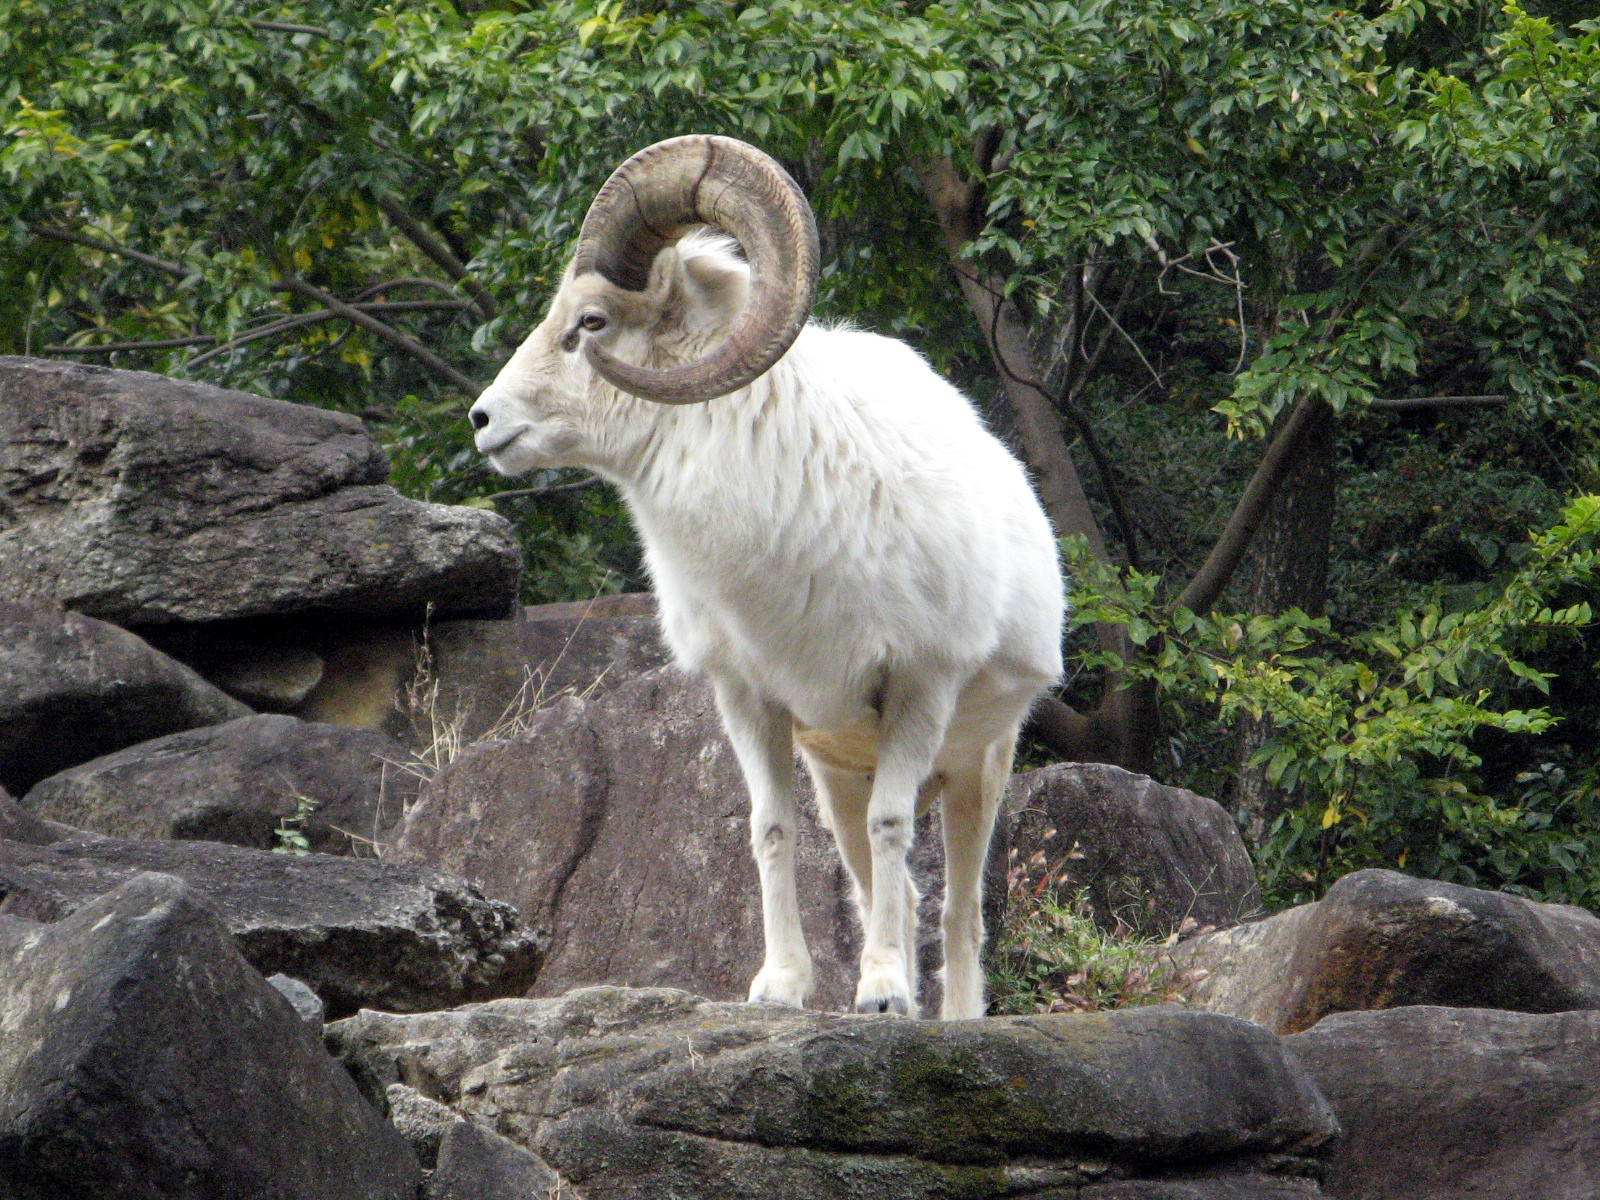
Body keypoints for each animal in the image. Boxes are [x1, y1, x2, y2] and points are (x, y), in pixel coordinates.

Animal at [469, 135, 1064, 1020]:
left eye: (592, 323)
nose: (484, 421)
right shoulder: (750, 699)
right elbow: (769, 830)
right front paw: (780, 989)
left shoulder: (918, 690)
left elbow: (895, 830)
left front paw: (882, 996)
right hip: (840, 777)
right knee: (887, 884)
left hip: (976, 770)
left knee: (959, 910)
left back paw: (949, 1015)